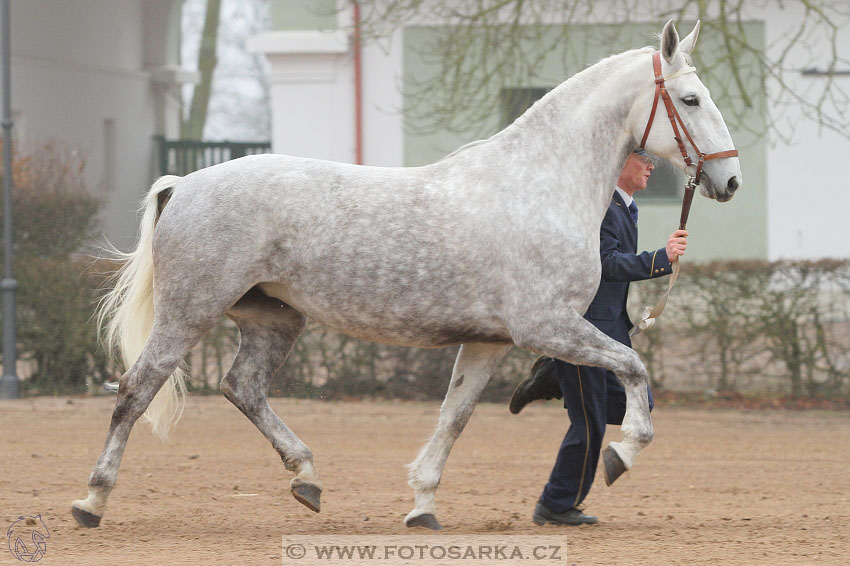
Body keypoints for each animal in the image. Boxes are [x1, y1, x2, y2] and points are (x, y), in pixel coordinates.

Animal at [73, 18, 736, 532]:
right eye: (692, 100)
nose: (729, 181)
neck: (538, 185)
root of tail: (183, 185)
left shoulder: (490, 342)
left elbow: (454, 416)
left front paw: (422, 503)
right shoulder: (546, 327)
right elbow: (632, 365)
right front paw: (623, 454)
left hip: (274, 318)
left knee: (243, 388)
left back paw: (307, 479)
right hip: (190, 311)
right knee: (136, 390)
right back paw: (91, 501)